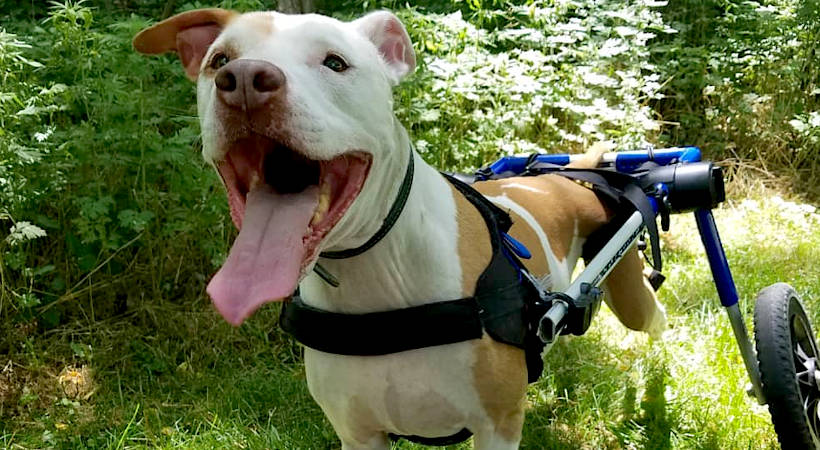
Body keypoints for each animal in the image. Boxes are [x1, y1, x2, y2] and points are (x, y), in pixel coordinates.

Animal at [135, 8, 668, 448]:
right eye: (219, 59)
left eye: (335, 63)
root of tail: (567, 173)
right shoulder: (359, 434)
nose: (243, 79)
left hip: (630, 294)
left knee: (656, 322)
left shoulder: (496, 427)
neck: (377, 274)